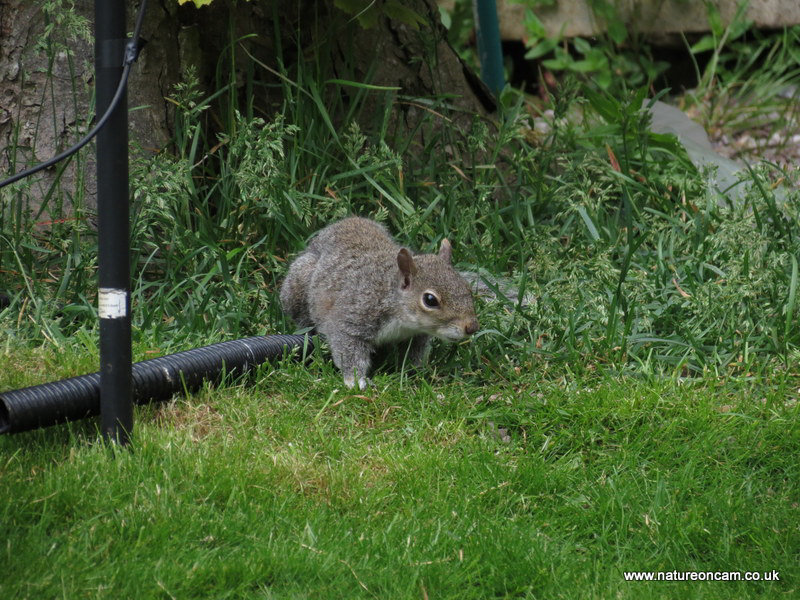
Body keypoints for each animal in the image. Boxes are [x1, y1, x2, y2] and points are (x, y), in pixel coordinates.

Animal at [282, 216, 482, 390]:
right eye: (430, 300)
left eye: (467, 288)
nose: (471, 327)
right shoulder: (353, 317)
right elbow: (348, 348)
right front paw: (355, 380)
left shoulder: (417, 336)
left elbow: (413, 355)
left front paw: (417, 373)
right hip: (299, 286)